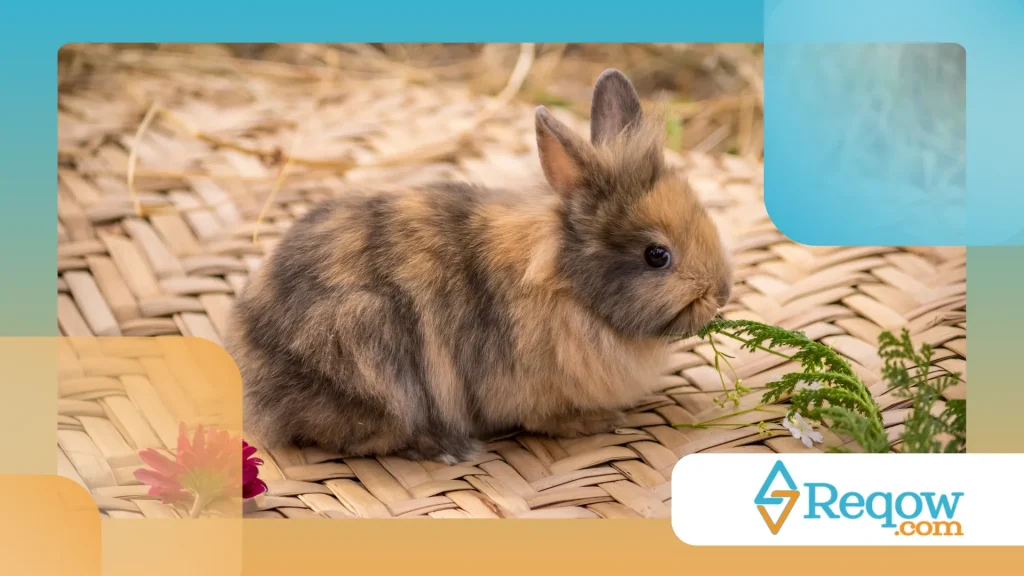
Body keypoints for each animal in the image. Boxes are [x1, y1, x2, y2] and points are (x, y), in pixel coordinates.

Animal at [226, 69, 733, 464]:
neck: (570, 290)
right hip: (365, 351)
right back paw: (443, 446)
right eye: (656, 255)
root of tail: (254, 382)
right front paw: (599, 420)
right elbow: (549, 419)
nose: (722, 294)